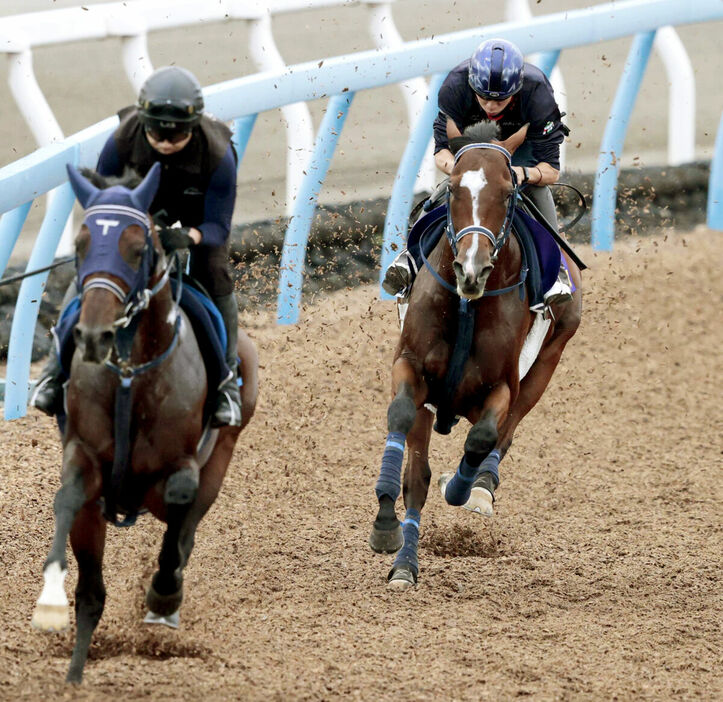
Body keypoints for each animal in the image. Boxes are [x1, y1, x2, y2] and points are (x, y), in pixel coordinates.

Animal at [30, 164, 260, 680]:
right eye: (80, 245)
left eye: (138, 248)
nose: (94, 336)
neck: (130, 376)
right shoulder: (84, 457)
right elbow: (68, 504)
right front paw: (51, 607)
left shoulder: (181, 467)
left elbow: (179, 508)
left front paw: (163, 595)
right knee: (94, 590)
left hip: (224, 450)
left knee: (186, 527)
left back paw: (165, 595)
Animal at [370, 125, 584, 588]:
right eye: (451, 188)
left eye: (507, 191)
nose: (472, 270)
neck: (468, 304)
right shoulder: (411, 367)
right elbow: (403, 427)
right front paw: (386, 526)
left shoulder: (503, 386)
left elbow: (483, 437)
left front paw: (463, 489)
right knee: (417, 476)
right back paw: (405, 563)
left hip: (548, 361)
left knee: (505, 434)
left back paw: (481, 487)